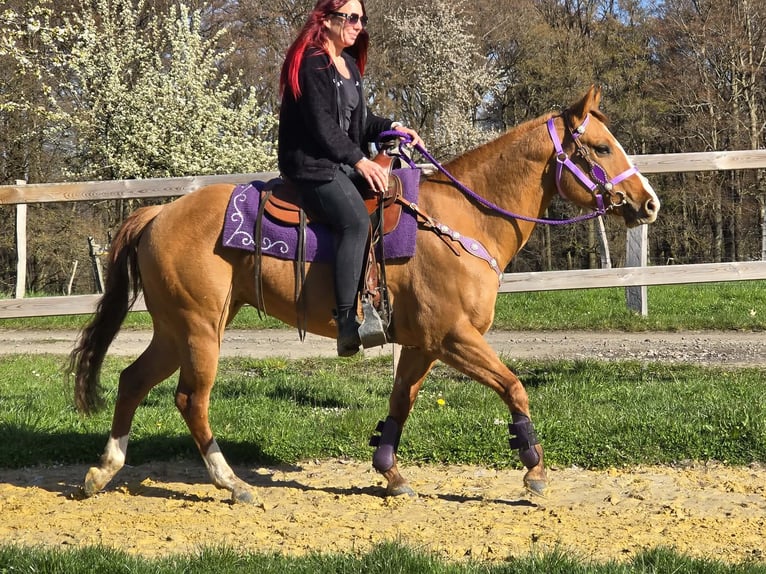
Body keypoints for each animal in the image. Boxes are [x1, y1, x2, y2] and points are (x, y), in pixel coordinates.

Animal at [70, 86, 660, 504]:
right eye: (602, 147)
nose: (648, 202)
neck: (463, 218)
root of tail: (157, 214)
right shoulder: (455, 338)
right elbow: (514, 387)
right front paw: (533, 467)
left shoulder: (423, 344)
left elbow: (401, 401)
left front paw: (390, 472)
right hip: (198, 330)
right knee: (191, 400)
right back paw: (230, 482)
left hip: (176, 329)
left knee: (132, 381)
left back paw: (103, 471)